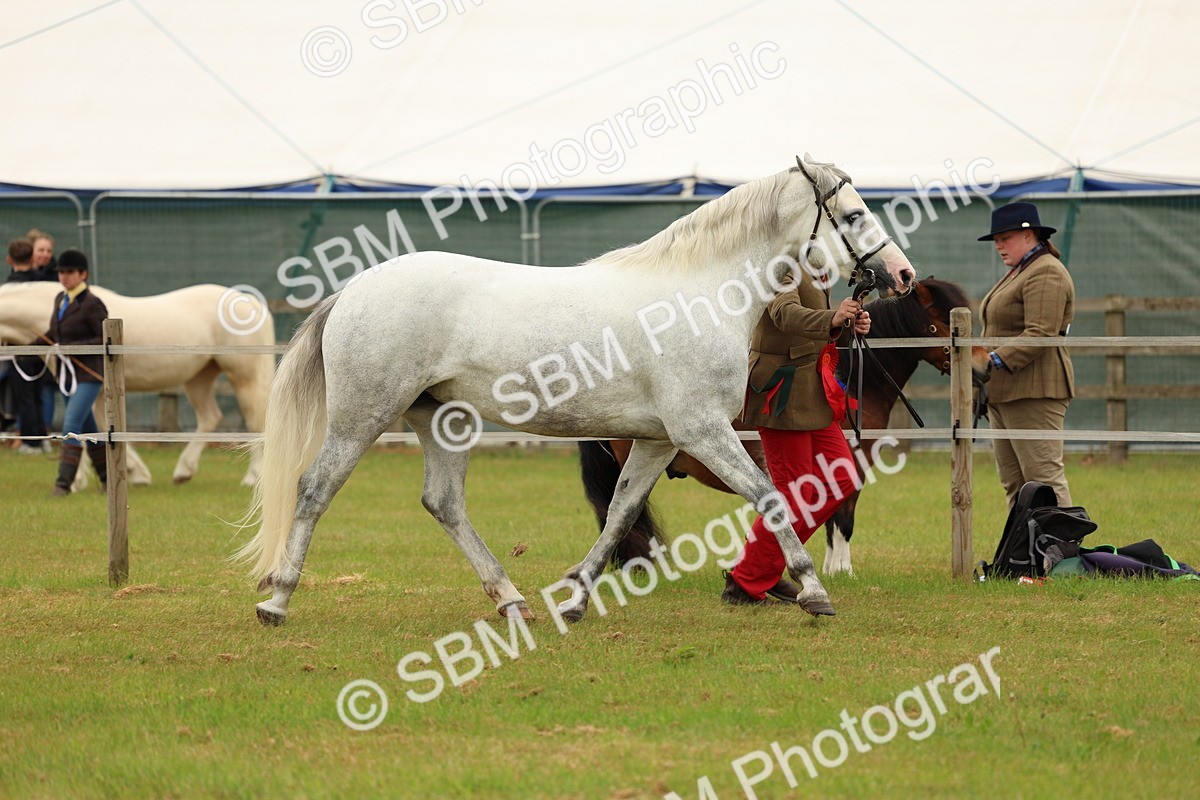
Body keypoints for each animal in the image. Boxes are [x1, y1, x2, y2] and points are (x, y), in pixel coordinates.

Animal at [0, 282, 274, 487]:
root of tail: (252, 303)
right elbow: (92, 427)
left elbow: (92, 426)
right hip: (199, 377)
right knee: (210, 416)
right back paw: (183, 471)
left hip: (244, 376)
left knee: (254, 420)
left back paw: (252, 477)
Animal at [236, 156, 917, 627]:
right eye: (855, 215)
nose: (902, 274)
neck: (699, 297)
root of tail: (353, 289)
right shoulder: (702, 430)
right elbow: (772, 496)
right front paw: (814, 592)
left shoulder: (660, 440)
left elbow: (620, 514)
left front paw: (575, 598)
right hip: (363, 416)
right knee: (315, 489)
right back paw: (277, 600)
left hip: (442, 418)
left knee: (444, 504)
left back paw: (513, 601)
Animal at [578, 278, 989, 575]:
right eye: (940, 324)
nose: (985, 366)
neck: (853, 378)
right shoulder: (848, 465)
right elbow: (843, 518)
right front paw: (842, 570)